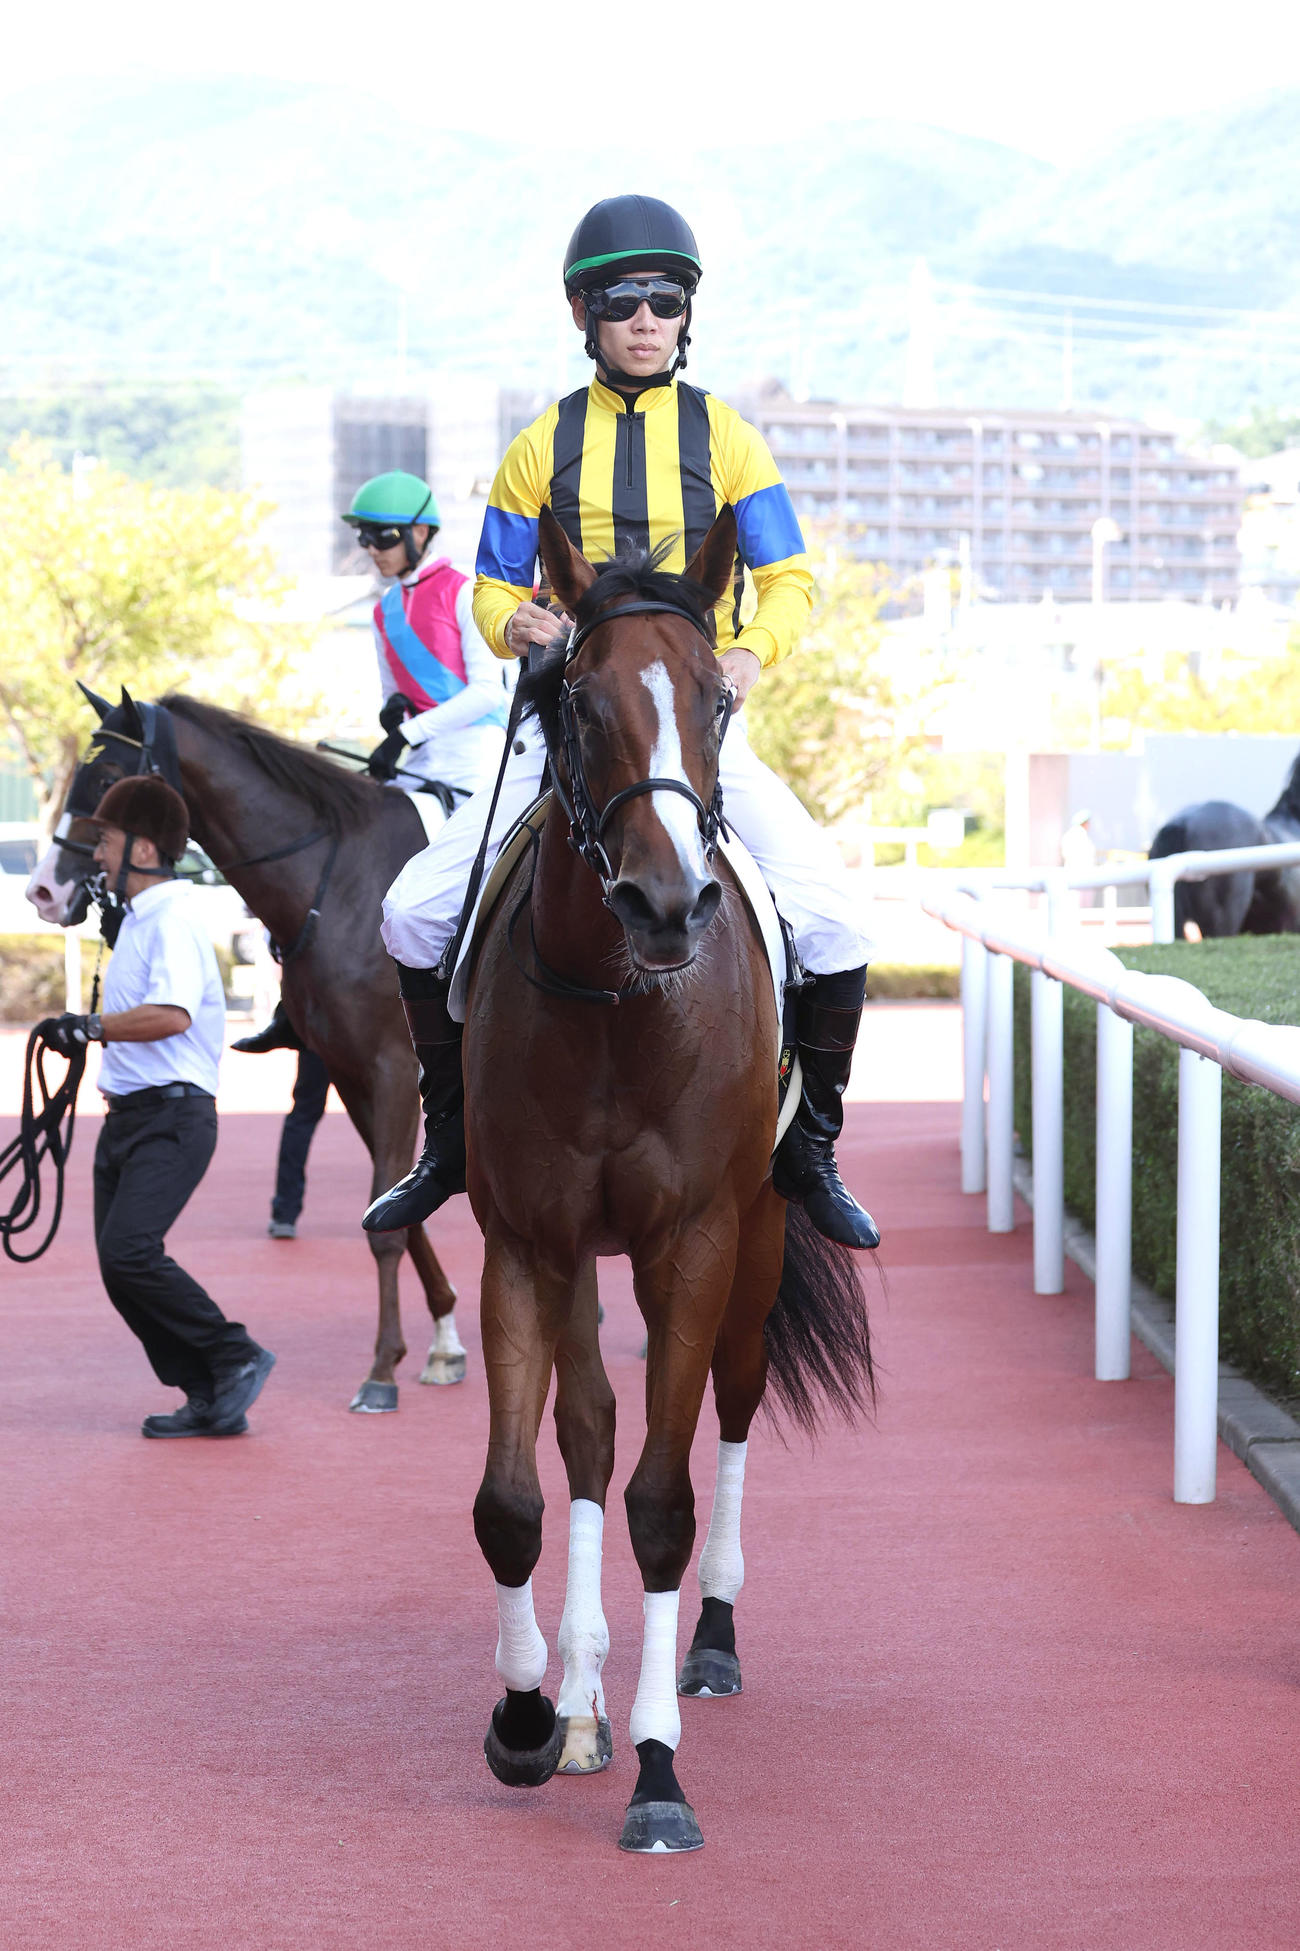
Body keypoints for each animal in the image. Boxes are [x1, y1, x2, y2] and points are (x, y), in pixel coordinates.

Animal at [26, 689, 466, 1412]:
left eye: (108, 775)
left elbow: (392, 1221)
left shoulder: (396, 1068)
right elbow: (397, 1207)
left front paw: (381, 1370)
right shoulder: (351, 1071)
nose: (42, 890)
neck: (341, 883)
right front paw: (442, 1341)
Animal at [460, 505, 875, 1854]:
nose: (664, 901)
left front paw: (658, 1771)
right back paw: (579, 1700)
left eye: (717, 699)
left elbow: (662, 1502)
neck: (612, 1005)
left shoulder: (689, 1241)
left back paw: (710, 1649)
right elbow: (517, 1496)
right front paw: (531, 1718)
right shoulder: (527, 1240)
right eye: (579, 700)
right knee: (588, 1430)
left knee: (732, 1408)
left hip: (757, 1240)